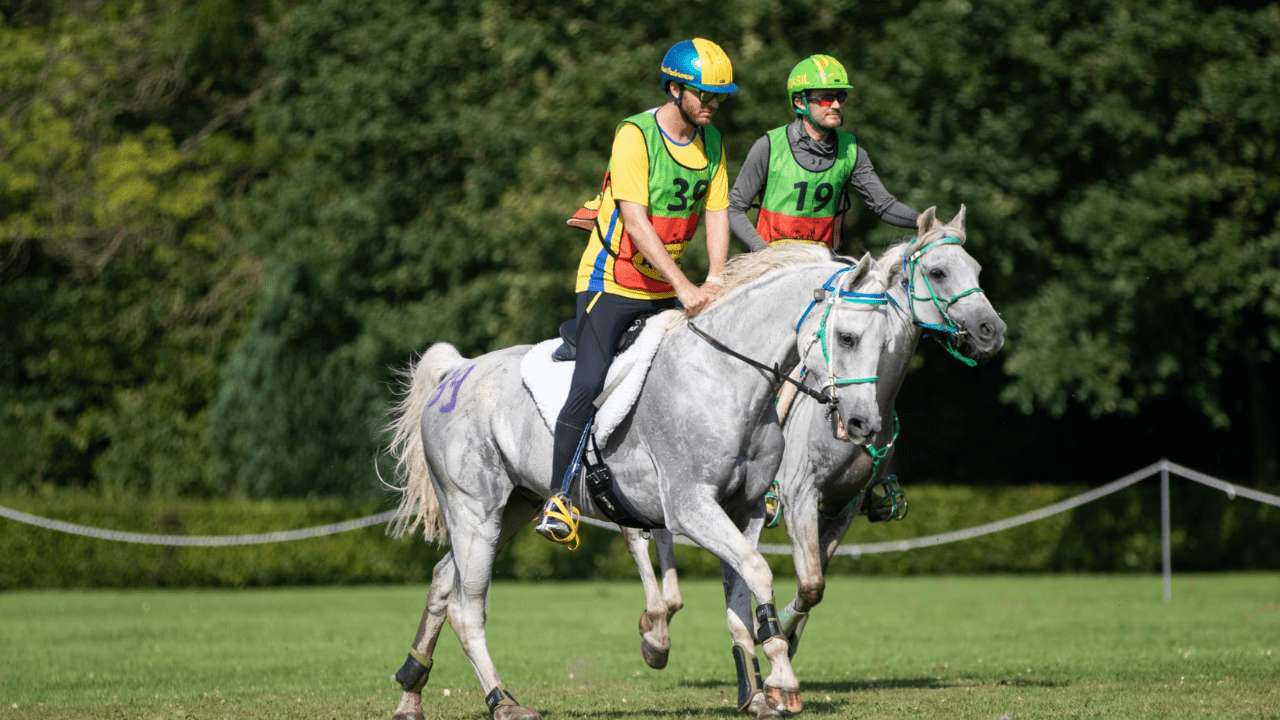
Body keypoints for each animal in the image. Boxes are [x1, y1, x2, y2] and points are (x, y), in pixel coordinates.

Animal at [384, 243, 896, 712]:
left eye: (889, 344)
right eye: (847, 338)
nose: (864, 424)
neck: (725, 378)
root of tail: (457, 372)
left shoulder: (743, 511)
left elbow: (739, 599)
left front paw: (755, 690)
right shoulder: (691, 508)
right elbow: (757, 571)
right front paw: (783, 682)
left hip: (510, 510)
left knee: (442, 580)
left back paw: (411, 690)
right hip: (475, 512)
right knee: (466, 610)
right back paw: (502, 700)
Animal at [624, 206, 1003, 691]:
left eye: (976, 269)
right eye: (938, 272)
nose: (992, 330)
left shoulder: (843, 504)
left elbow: (816, 583)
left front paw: (783, 639)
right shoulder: (799, 495)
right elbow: (808, 583)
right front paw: (776, 635)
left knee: (660, 529)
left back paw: (663, 618)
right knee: (641, 533)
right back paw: (657, 627)